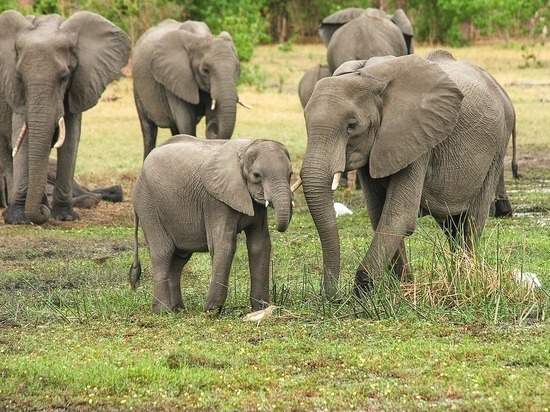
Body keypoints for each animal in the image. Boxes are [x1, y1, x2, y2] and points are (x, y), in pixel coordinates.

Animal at [0, 11, 132, 224]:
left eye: (64, 77)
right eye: (20, 78)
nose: (42, 213)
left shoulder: (78, 84)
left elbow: (70, 139)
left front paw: (65, 216)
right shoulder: (15, 92)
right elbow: (23, 139)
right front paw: (17, 219)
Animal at [130, 134, 296, 312]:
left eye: (290, 174)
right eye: (257, 175)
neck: (245, 149)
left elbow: (260, 244)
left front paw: (261, 308)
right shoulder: (215, 200)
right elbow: (224, 244)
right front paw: (212, 310)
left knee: (179, 259)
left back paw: (178, 309)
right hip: (147, 205)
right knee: (163, 253)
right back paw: (164, 311)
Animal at [134, 20, 246, 159]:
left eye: (237, 69)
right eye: (205, 70)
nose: (213, 126)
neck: (201, 37)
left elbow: (211, 114)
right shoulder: (175, 79)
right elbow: (186, 123)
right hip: (137, 88)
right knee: (149, 130)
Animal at [298, 51, 516, 298]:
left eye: (352, 126)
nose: (332, 296)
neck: (367, 77)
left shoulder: (418, 138)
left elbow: (399, 215)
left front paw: (364, 291)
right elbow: (379, 214)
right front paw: (402, 286)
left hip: (497, 146)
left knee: (471, 220)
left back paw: (465, 279)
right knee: (452, 225)